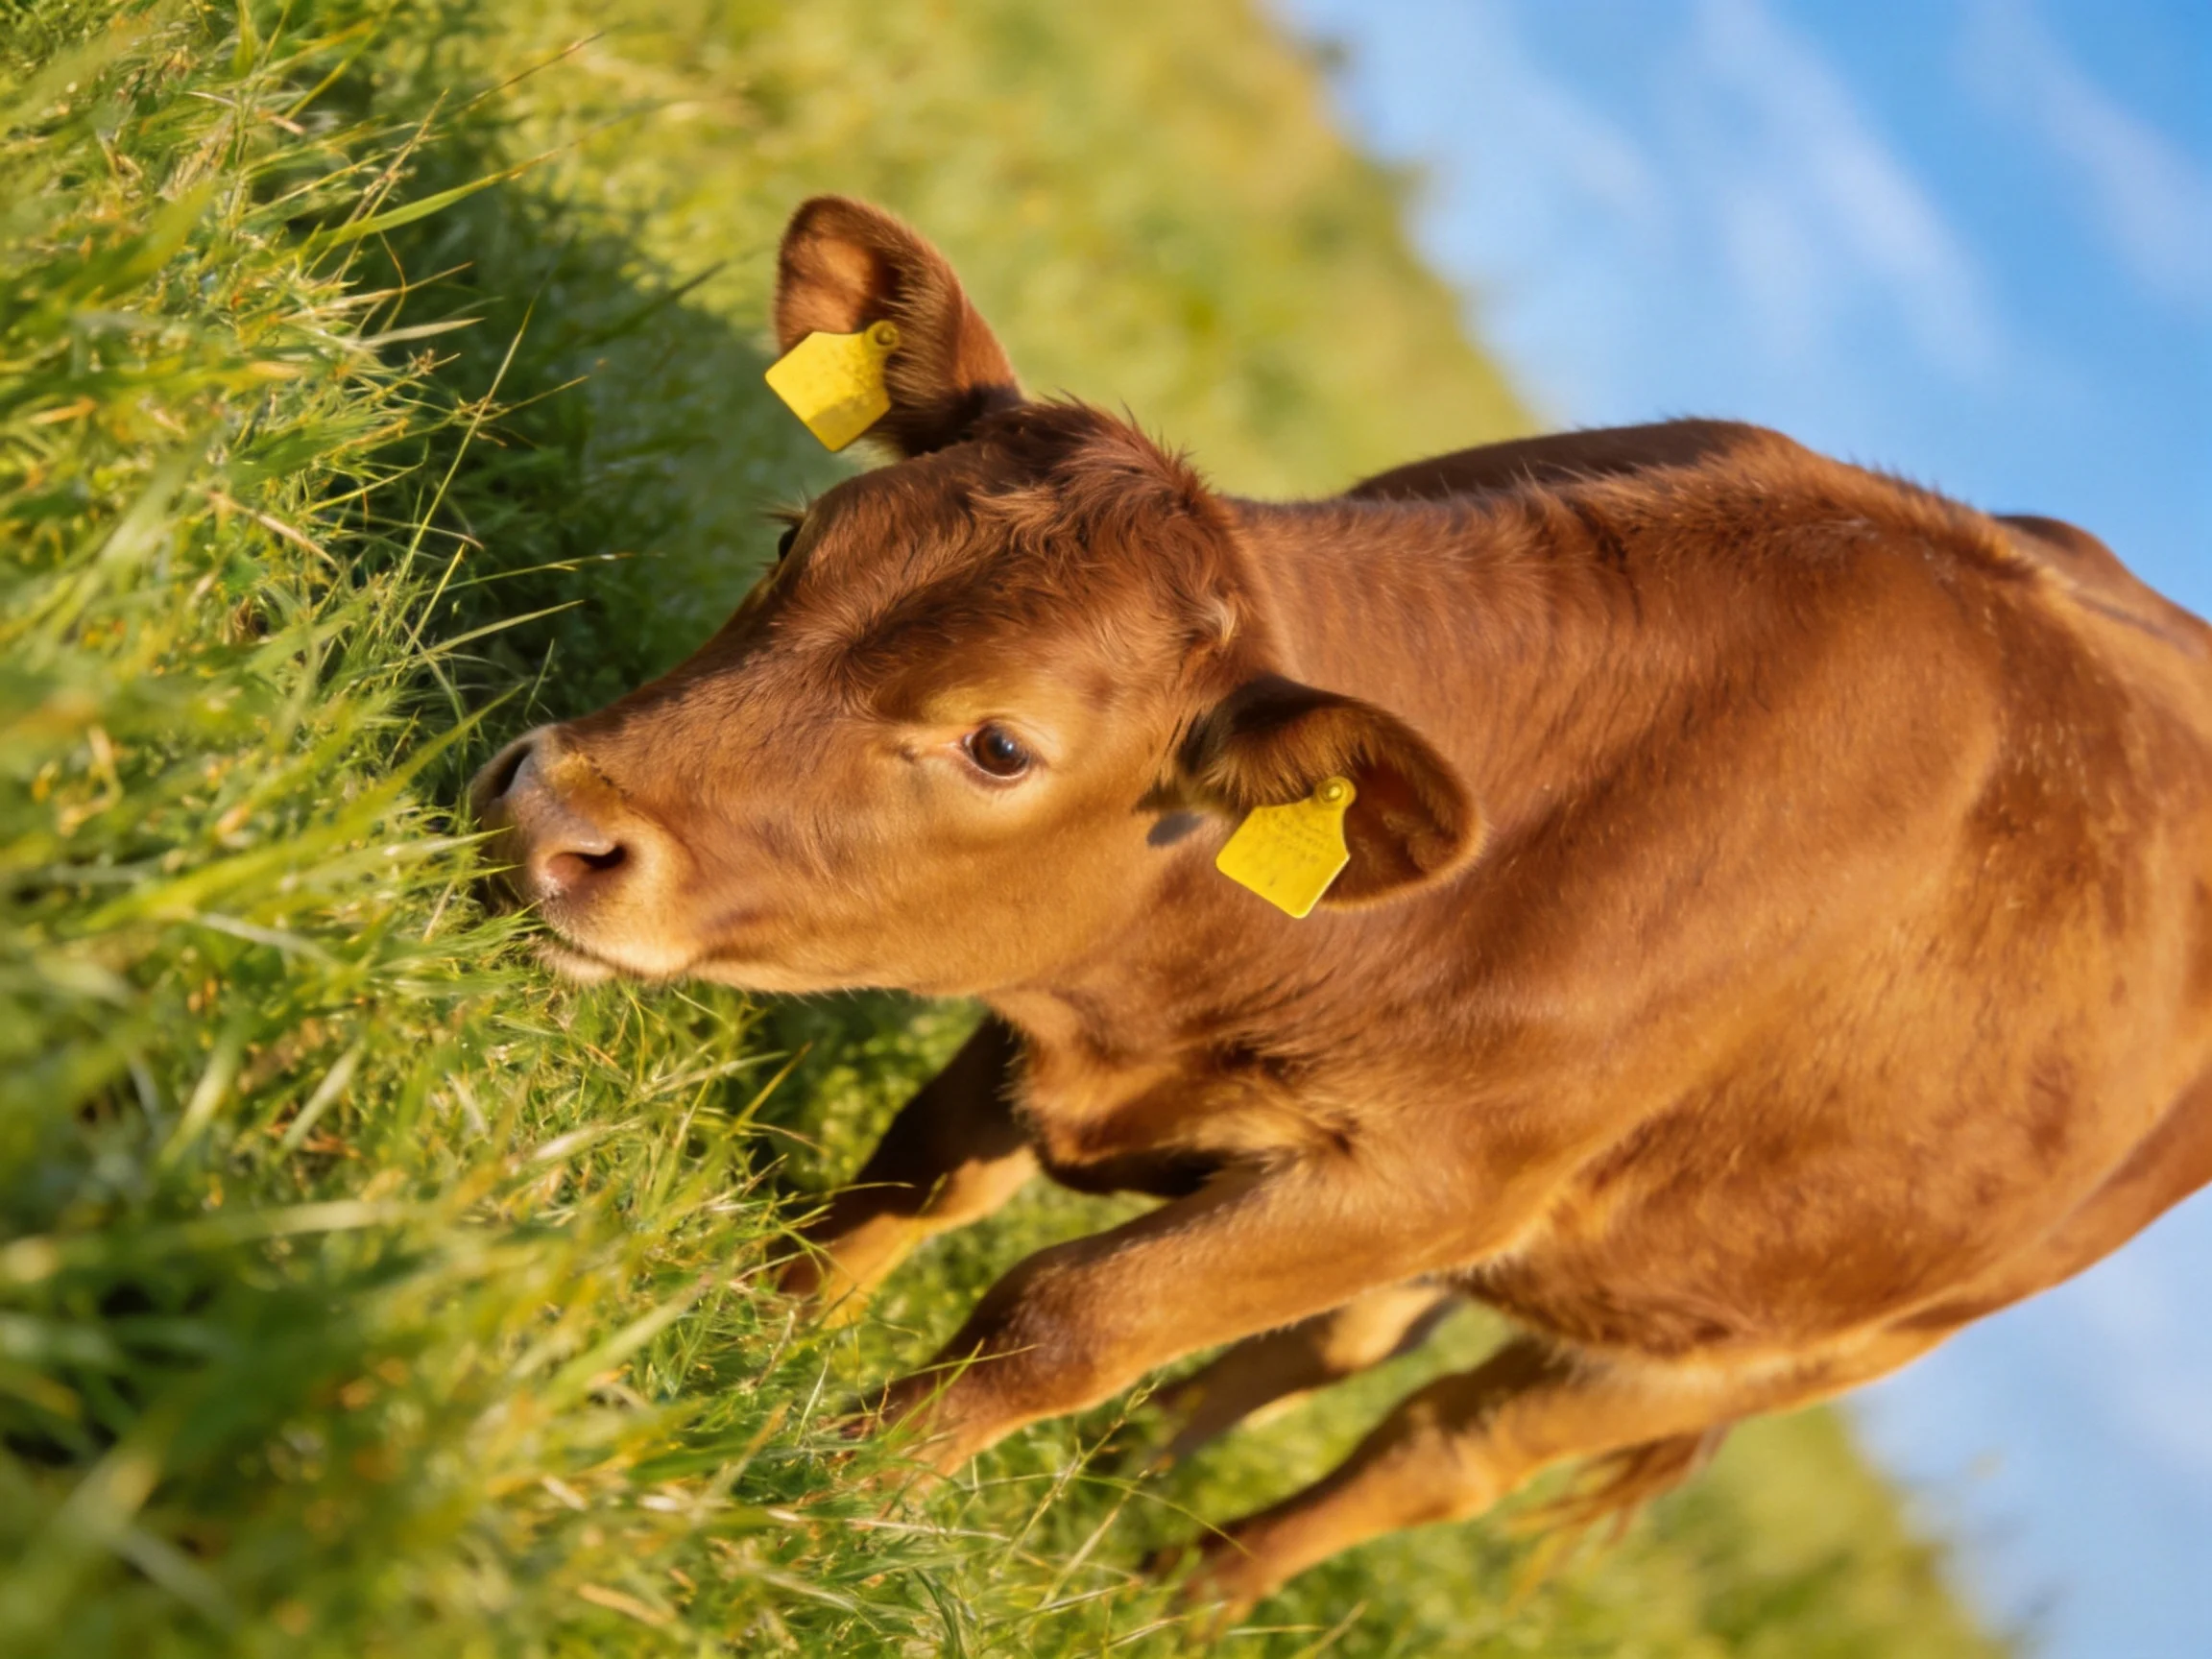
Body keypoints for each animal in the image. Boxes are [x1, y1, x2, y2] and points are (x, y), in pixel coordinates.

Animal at [470, 195, 2212, 1610]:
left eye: (998, 743)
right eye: (796, 540)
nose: (557, 814)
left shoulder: (1432, 1182)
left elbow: (1065, 1313)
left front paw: (827, 1482)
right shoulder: (1076, 998)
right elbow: (918, 1178)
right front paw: (766, 1328)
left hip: (1791, 1337)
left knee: (1437, 1447)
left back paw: (1185, 1598)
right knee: (1338, 1349)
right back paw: (1124, 1495)